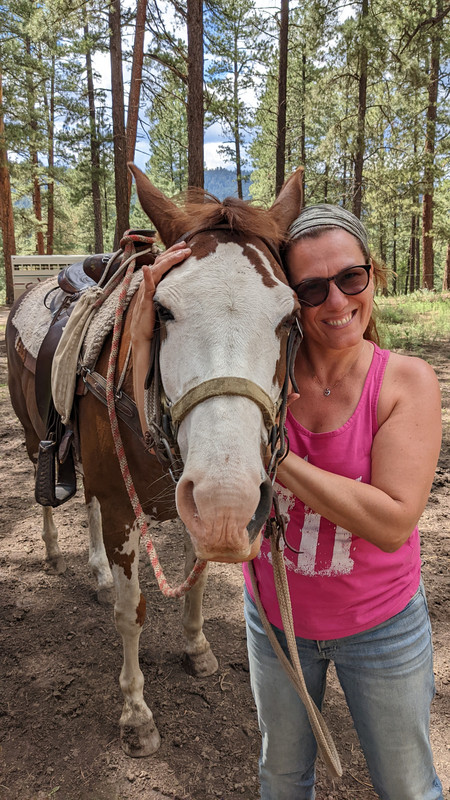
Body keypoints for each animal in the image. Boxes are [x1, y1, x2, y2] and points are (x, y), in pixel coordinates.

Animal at [6, 162, 302, 756]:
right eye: (162, 310)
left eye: (289, 315)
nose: (231, 501)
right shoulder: (127, 509)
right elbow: (132, 612)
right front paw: (136, 714)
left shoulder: (195, 505)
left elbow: (197, 576)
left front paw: (196, 648)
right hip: (32, 436)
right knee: (48, 492)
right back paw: (54, 552)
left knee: (88, 505)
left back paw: (97, 572)